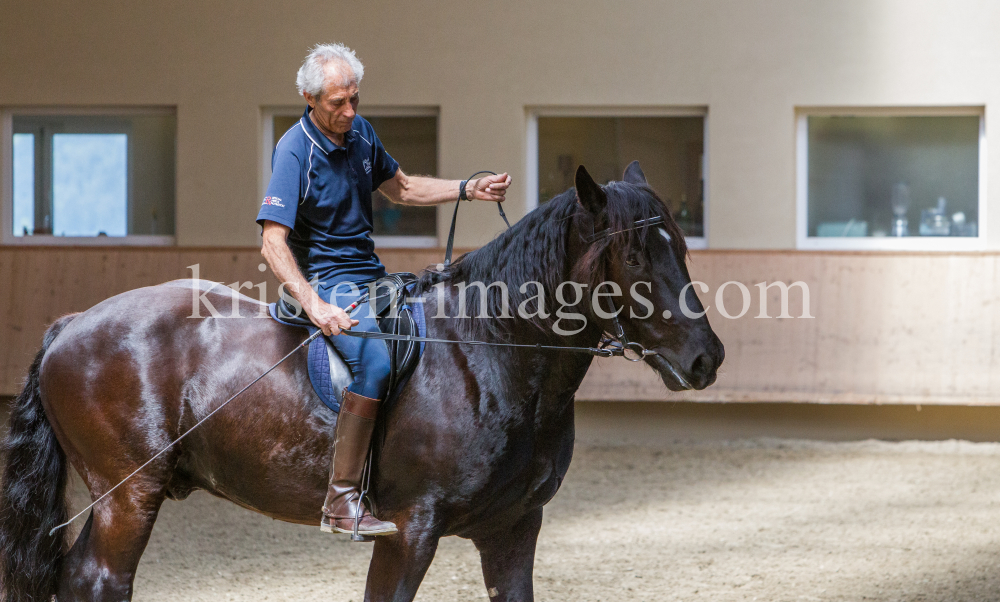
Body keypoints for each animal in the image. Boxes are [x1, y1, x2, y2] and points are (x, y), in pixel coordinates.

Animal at [0, 162, 720, 596]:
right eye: (635, 256)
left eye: (683, 248)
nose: (706, 359)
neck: (493, 352)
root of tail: (72, 324)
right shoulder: (410, 531)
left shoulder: (514, 529)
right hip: (129, 494)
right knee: (98, 578)